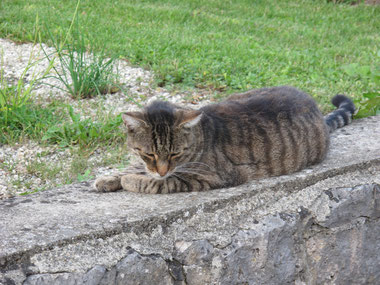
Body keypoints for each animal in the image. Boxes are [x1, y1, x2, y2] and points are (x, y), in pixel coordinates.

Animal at [93, 86, 354, 193]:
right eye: (149, 153)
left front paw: (128, 180)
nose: (162, 170)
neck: (200, 136)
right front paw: (108, 178)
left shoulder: (208, 178)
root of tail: (316, 108)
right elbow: (132, 167)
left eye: (175, 153)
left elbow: (156, 183)